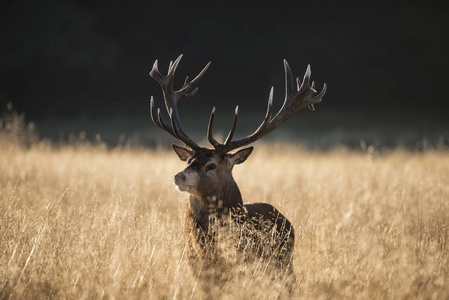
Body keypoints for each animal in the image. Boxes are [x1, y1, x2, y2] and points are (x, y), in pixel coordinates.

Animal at [148, 54, 326, 282]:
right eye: (188, 161)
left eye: (212, 165)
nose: (179, 177)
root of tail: (285, 219)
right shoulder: (196, 268)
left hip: (285, 262)